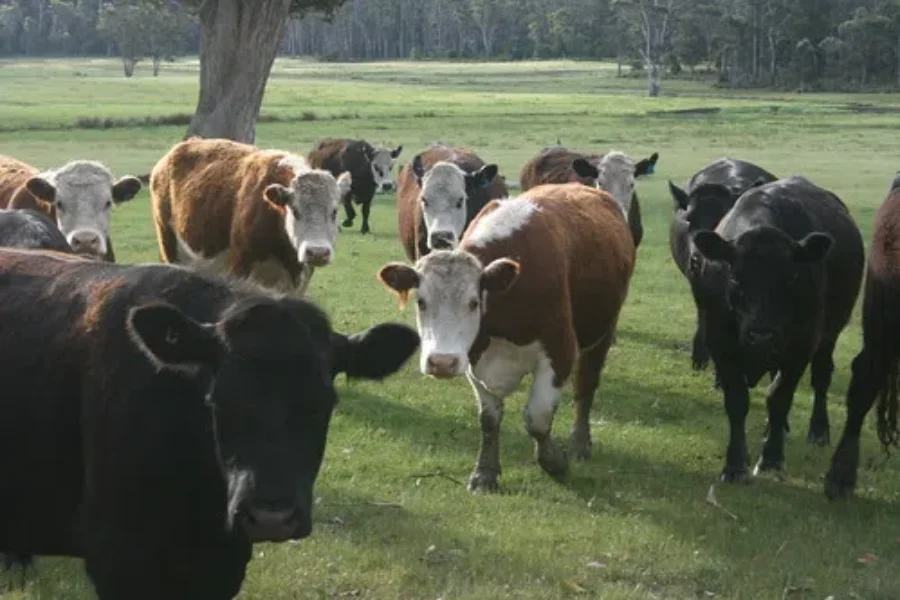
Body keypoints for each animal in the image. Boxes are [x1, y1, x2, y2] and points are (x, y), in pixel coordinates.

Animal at [378, 182, 636, 492]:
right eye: (421, 302)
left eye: (474, 302)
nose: (441, 362)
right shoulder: (474, 358)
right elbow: (489, 419)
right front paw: (485, 473)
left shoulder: (559, 351)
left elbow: (537, 418)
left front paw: (554, 463)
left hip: (602, 332)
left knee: (585, 387)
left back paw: (580, 443)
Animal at [689, 175, 864, 483]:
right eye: (735, 278)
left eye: (791, 277)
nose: (762, 335)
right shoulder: (720, 341)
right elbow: (737, 400)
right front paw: (735, 464)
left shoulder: (802, 344)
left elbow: (779, 397)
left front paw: (771, 458)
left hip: (828, 335)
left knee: (821, 377)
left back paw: (817, 431)